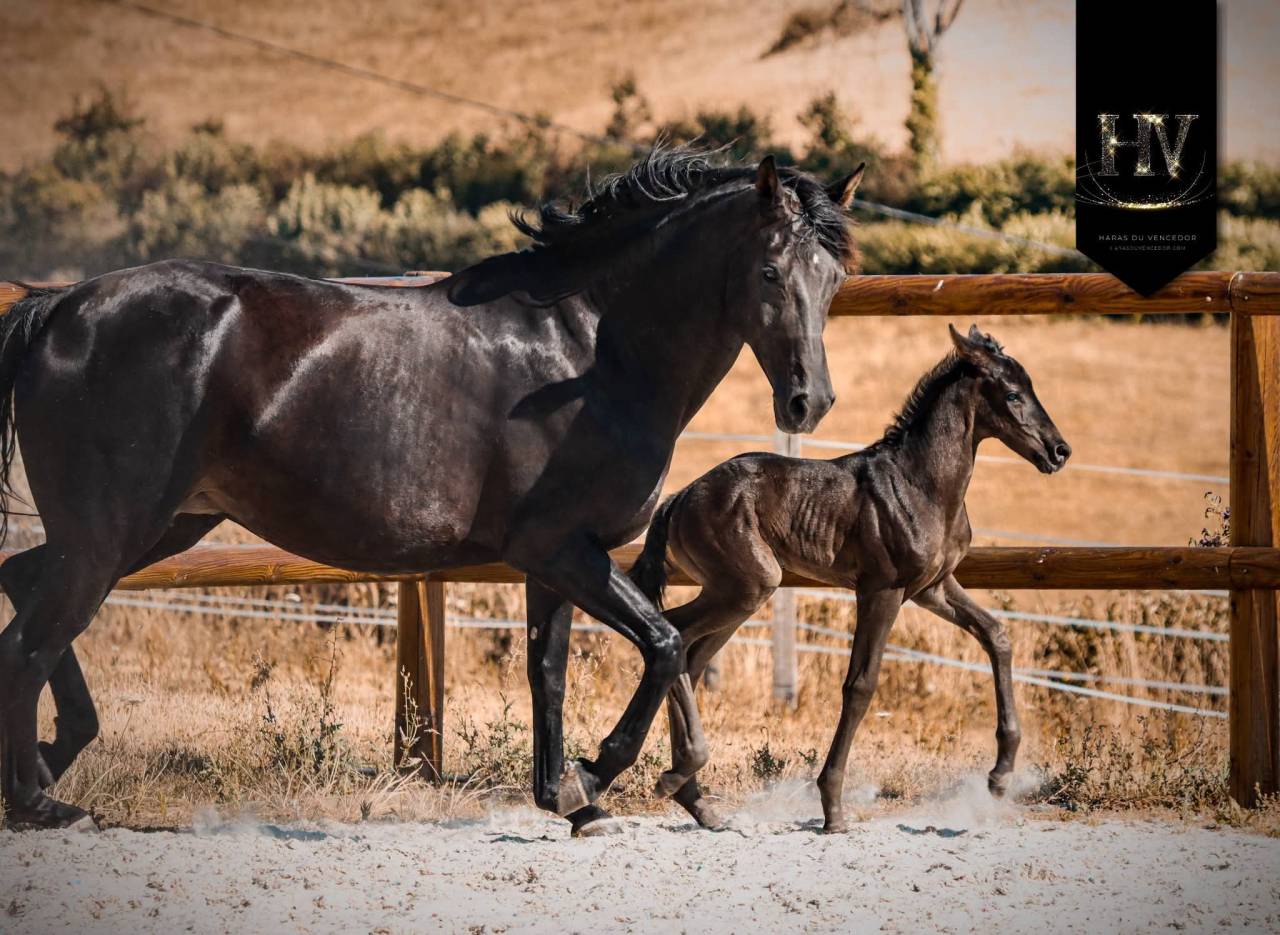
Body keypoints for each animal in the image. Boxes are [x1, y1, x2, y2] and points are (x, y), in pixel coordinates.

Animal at [0, 147, 864, 832]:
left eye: (833, 279)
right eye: (769, 271)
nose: (809, 401)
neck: (588, 348)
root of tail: (58, 308)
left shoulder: (554, 555)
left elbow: (550, 669)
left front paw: (571, 797)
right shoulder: (560, 547)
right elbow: (665, 641)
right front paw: (657, 781)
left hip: (157, 527)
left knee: (22, 590)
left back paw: (48, 757)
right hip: (111, 533)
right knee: (31, 638)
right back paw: (43, 799)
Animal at [631, 324, 1071, 832]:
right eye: (1014, 393)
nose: (1060, 451)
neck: (921, 485)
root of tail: (678, 498)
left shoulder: (934, 587)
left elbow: (996, 634)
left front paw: (1000, 776)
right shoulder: (882, 589)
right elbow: (860, 684)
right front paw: (833, 807)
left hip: (737, 593)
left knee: (692, 657)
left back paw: (697, 801)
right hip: (748, 585)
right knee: (676, 635)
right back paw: (677, 775)